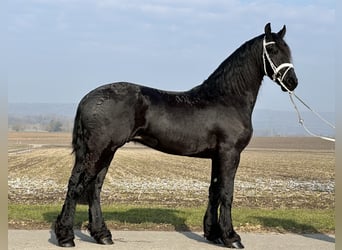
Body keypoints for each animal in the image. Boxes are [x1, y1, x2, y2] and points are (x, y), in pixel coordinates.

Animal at [55, 23, 296, 248]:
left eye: (288, 50)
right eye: (272, 49)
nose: (292, 82)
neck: (226, 99)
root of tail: (88, 98)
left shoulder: (217, 156)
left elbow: (214, 191)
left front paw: (213, 234)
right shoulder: (230, 154)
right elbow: (226, 193)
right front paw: (231, 237)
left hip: (107, 151)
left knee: (94, 188)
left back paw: (102, 235)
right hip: (98, 150)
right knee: (76, 186)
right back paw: (66, 237)